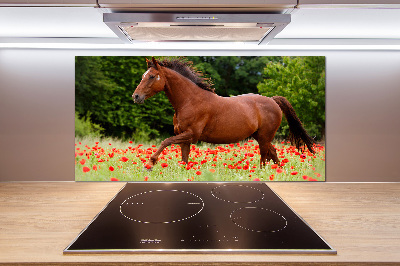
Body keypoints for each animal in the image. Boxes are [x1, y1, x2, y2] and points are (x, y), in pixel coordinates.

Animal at [133, 57, 314, 170]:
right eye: (143, 75)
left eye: (152, 76)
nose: (136, 96)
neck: (190, 100)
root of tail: (273, 100)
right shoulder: (184, 137)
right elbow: (184, 159)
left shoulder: (191, 134)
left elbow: (166, 141)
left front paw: (150, 164)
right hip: (261, 136)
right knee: (273, 153)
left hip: (264, 137)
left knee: (264, 156)